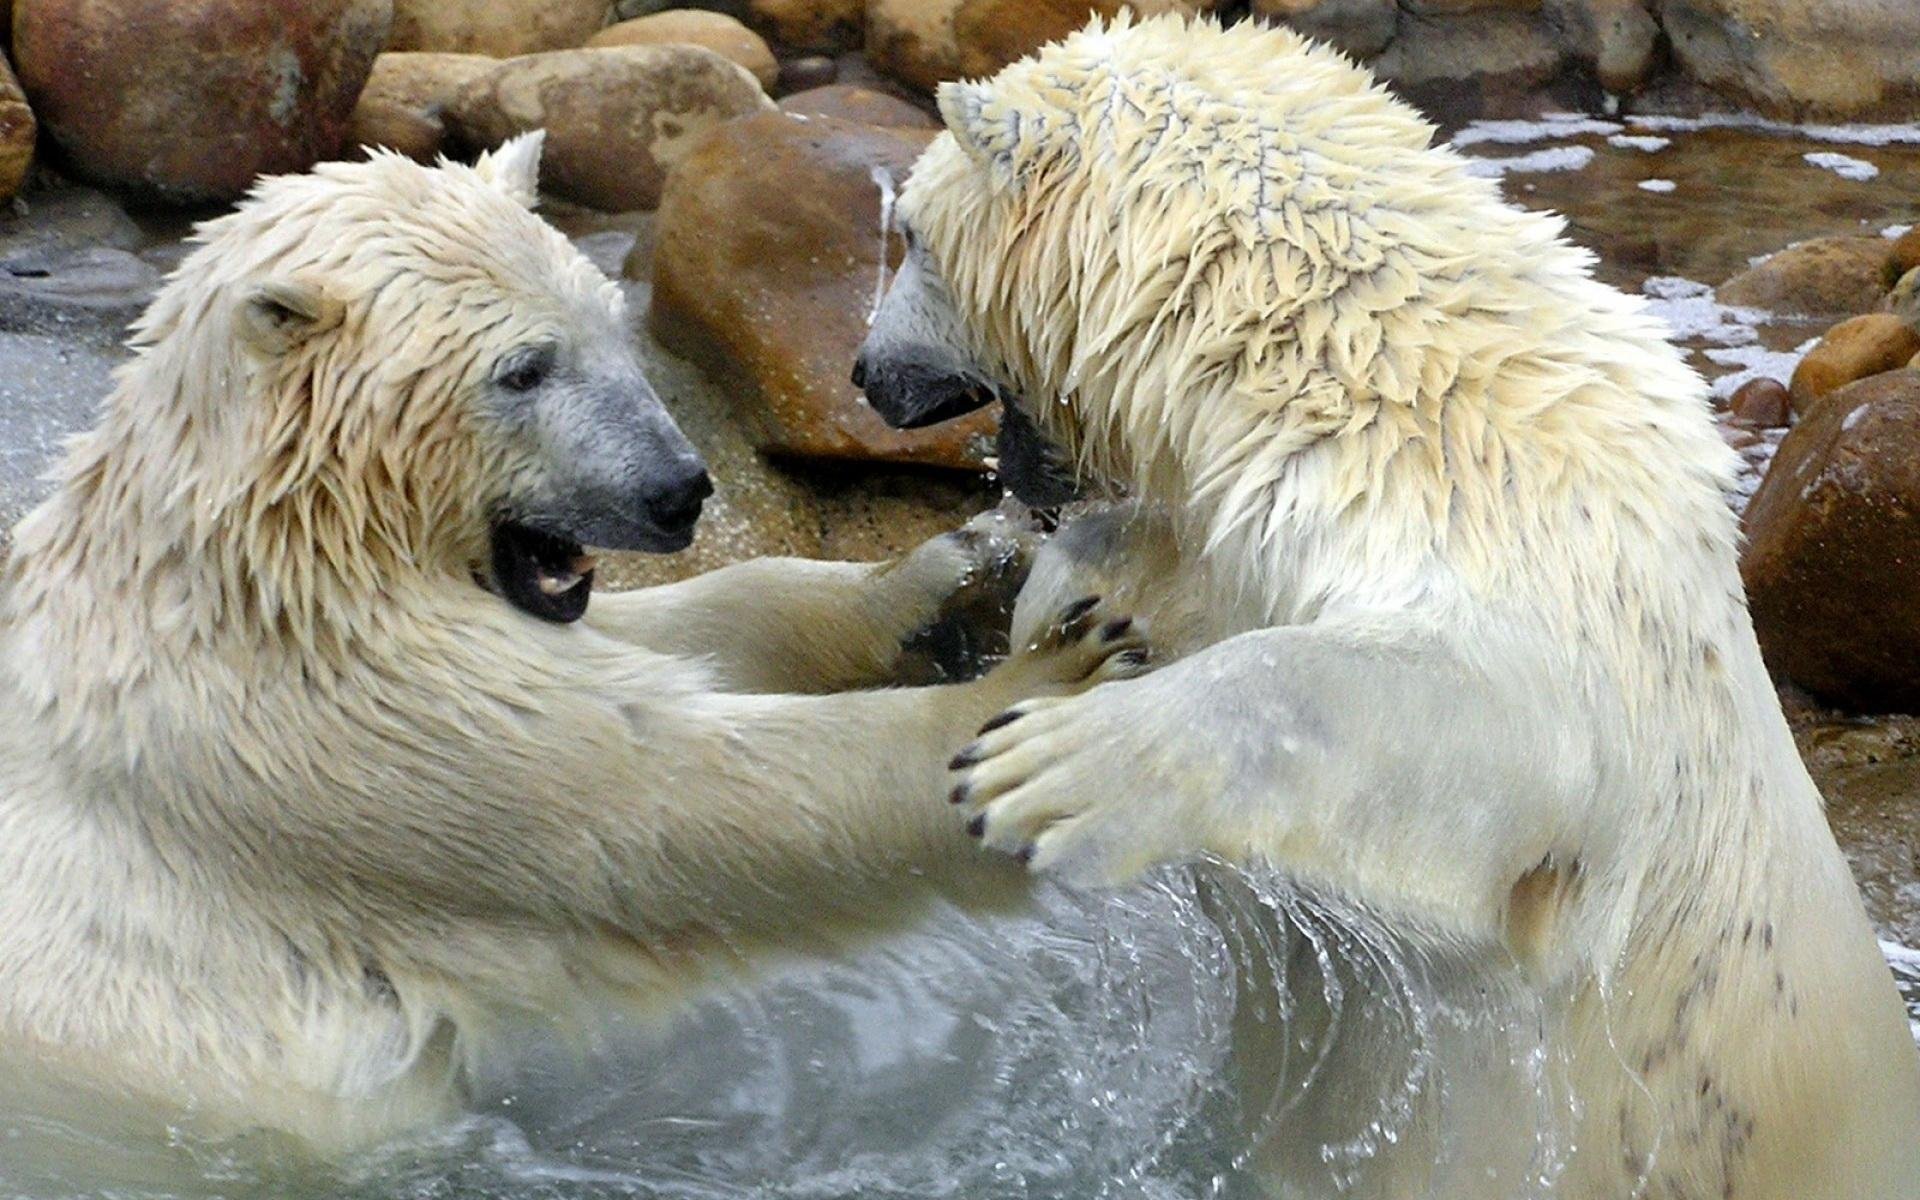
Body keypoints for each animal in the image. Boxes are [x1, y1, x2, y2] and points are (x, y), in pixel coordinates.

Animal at [0, 133, 1151, 1185]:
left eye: (606, 325)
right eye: (523, 369)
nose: (678, 489)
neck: (262, 552)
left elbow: (677, 636)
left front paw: (944, 582)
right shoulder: (318, 717)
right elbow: (666, 799)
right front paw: (1042, 703)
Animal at [854, 16, 1920, 1199]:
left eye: (910, 233)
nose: (865, 373)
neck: (1363, 368)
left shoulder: (1530, 540)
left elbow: (1453, 714)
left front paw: (1042, 770)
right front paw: (1073, 602)